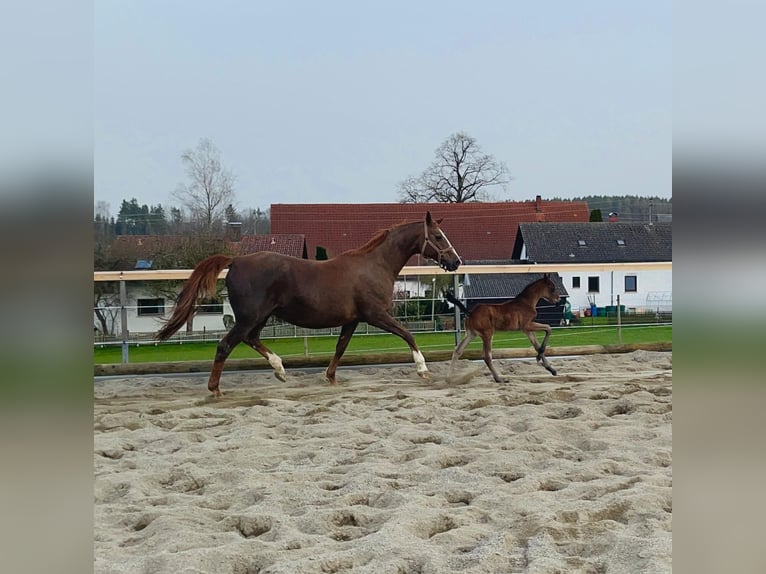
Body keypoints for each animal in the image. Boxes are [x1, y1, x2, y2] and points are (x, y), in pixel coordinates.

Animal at [153, 214, 460, 398]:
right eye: (439, 236)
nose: (455, 261)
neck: (375, 265)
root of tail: (236, 260)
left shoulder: (353, 319)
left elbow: (340, 348)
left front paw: (331, 378)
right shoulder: (376, 314)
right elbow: (408, 334)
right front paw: (422, 370)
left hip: (260, 317)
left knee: (251, 339)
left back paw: (280, 370)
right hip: (250, 317)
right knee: (225, 345)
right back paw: (215, 389)